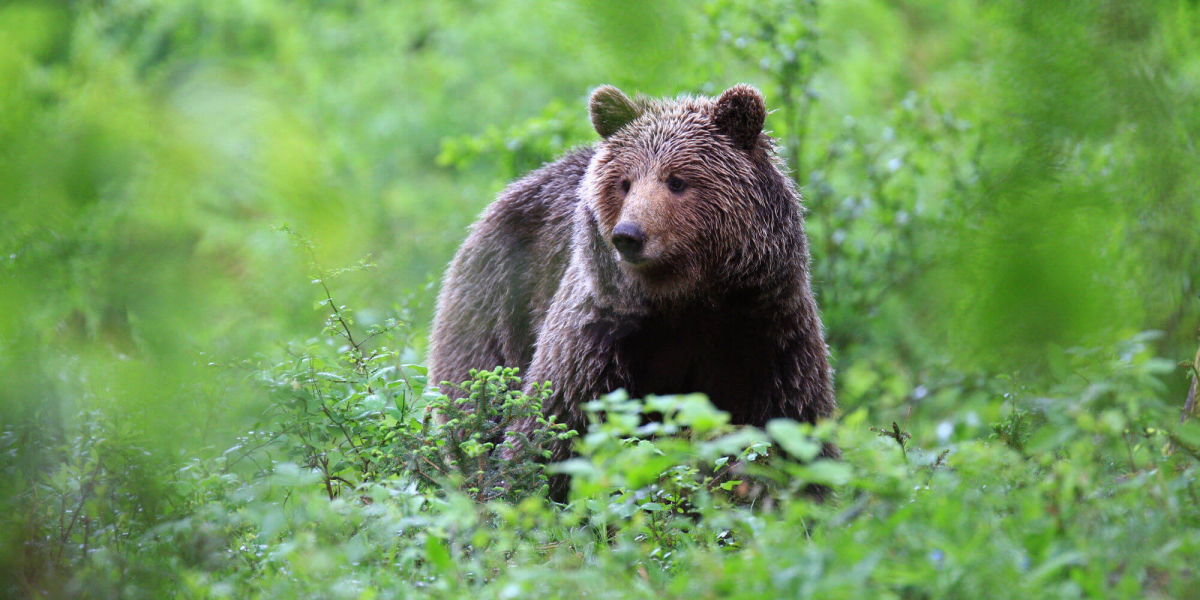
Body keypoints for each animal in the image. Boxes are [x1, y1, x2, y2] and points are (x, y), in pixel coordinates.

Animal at [429, 84, 835, 496]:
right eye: (625, 183)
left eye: (676, 180)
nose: (628, 235)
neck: (685, 298)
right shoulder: (601, 334)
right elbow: (551, 429)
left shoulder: (767, 331)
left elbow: (794, 429)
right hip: (496, 306)